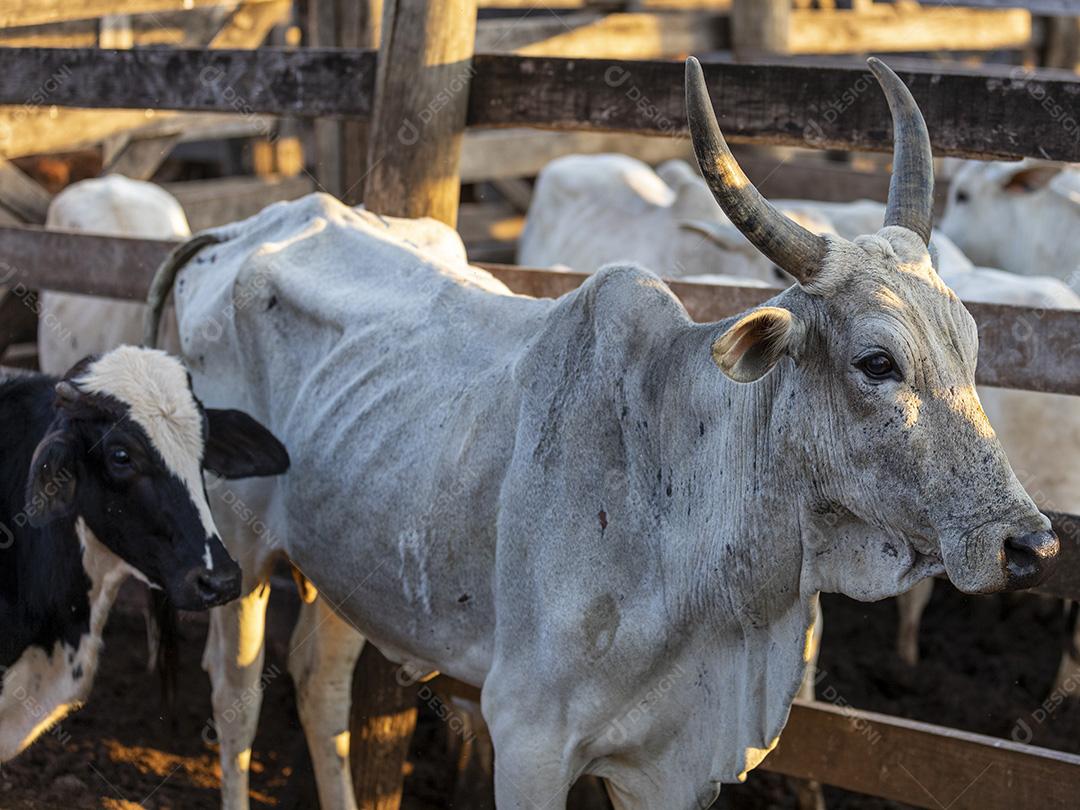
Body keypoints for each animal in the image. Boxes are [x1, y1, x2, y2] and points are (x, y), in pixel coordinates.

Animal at [138, 56, 1060, 809]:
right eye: (877, 362)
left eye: (971, 345)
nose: (1032, 545)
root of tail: (244, 229)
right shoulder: (528, 739)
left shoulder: (664, 770)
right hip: (237, 554)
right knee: (236, 700)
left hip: (352, 558)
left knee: (320, 683)